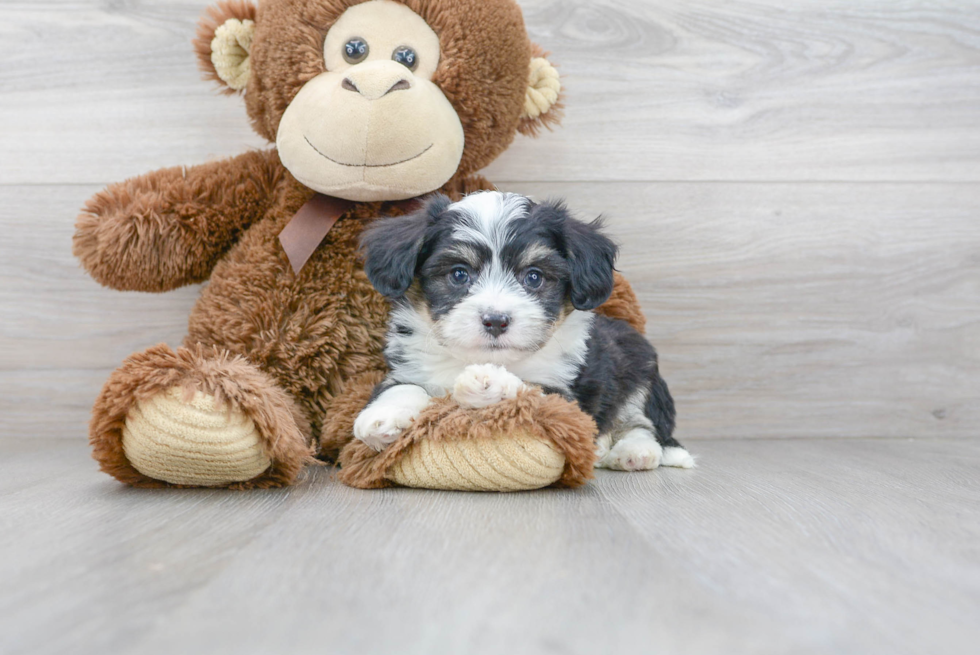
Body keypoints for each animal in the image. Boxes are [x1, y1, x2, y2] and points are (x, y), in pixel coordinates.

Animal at [356, 190, 692, 472]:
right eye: (459, 274)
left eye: (533, 277)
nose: (496, 320)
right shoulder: (410, 367)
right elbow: (402, 387)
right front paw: (380, 418)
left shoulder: (566, 395)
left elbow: (531, 390)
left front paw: (489, 382)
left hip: (641, 373)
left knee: (644, 426)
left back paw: (634, 452)